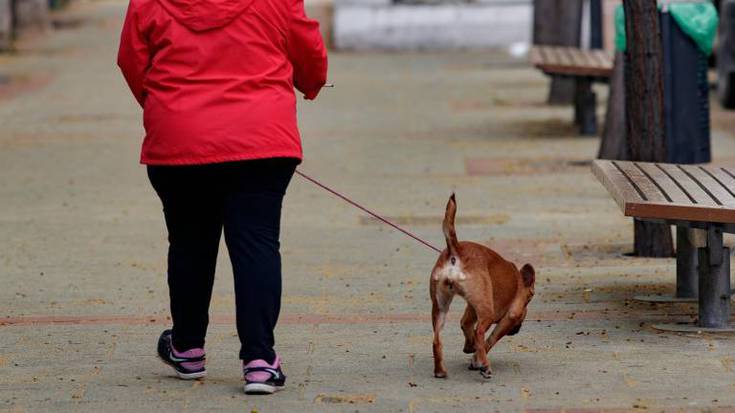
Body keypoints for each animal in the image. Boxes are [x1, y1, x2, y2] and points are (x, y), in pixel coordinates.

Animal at [428, 195, 536, 378]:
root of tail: (456, 250)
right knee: (480, 332)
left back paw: (440, 370)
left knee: (437, 340)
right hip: (487, 312)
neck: (520, 283)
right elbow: (490, 339)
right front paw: (477, 359)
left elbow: (465, 324)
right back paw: (485, 365)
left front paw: (470, 349)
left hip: (440, 308)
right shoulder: (510, 317)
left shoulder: (472, 306)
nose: (517, 330)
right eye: (527, 303)